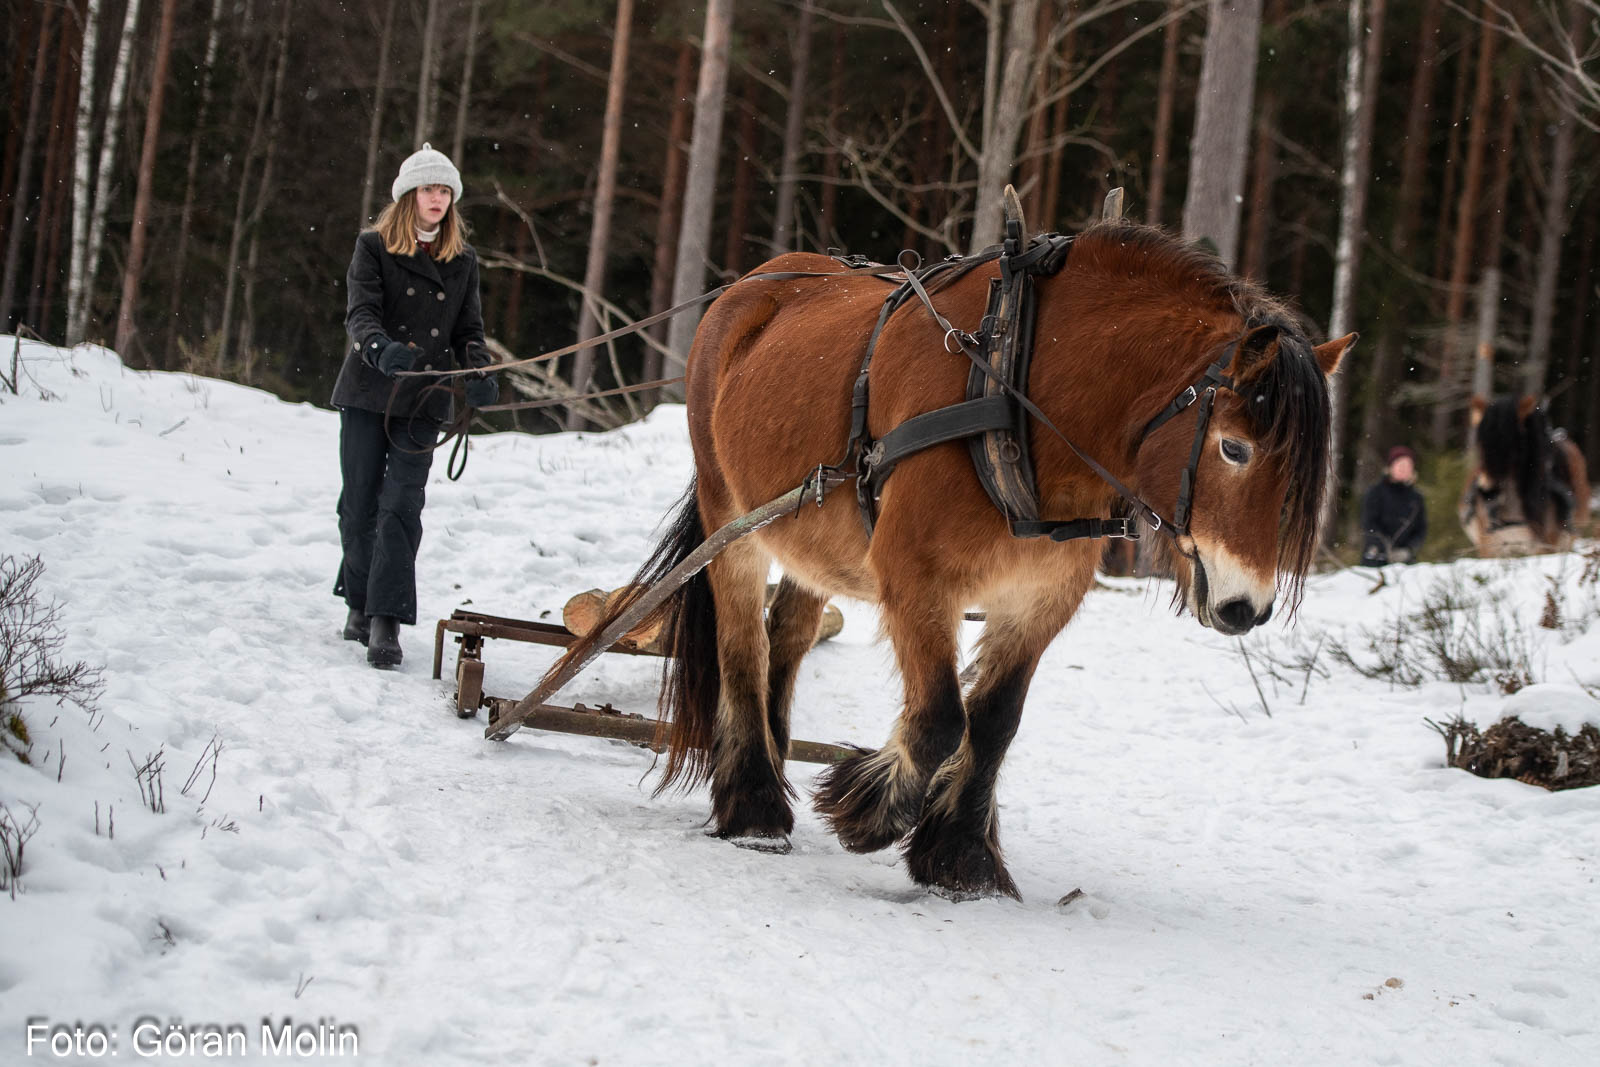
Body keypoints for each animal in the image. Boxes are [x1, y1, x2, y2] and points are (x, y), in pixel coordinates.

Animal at [545, 221, 1349, 900]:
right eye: (1234, 447)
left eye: (1297, 476)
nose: (1248, 608)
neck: (1014, 386)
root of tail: (754, 285)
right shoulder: (915, 578)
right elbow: (938, 717)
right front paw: (870, 808)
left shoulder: (1041, 596)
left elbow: (992, 721)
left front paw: (959, 853)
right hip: (730, 514)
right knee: (743, 646)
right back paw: (753, 804)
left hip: (810, 533)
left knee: (788, 634)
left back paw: (774, 763)